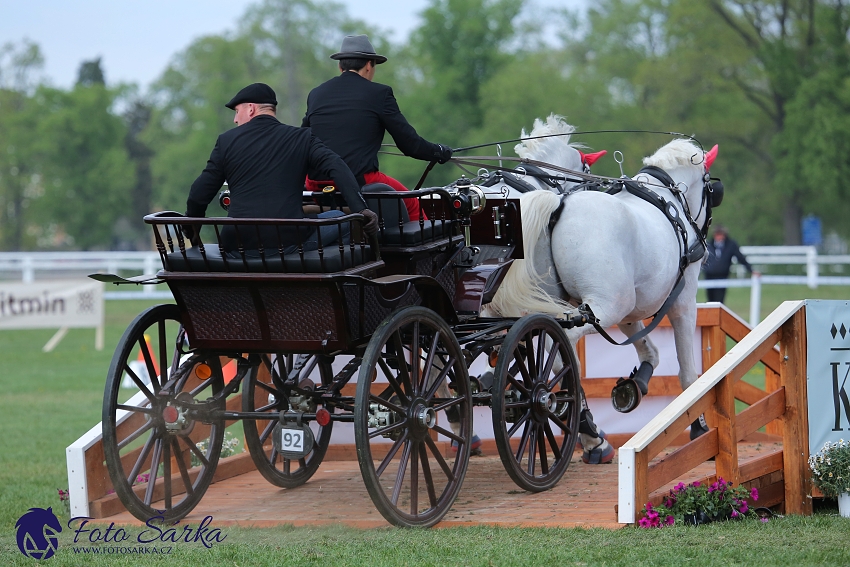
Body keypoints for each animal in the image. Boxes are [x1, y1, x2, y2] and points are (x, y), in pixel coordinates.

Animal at [484, 124, 716, 462]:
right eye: (711, 186)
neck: (665, 197)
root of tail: (557, 206)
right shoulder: (682, 303)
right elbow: (688, 373)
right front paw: (699, 429)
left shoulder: (629, 308)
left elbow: (650, 351)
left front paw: (637, 383)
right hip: (600, 309)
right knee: (562, 350)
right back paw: (586, 431)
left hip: (574, 303)